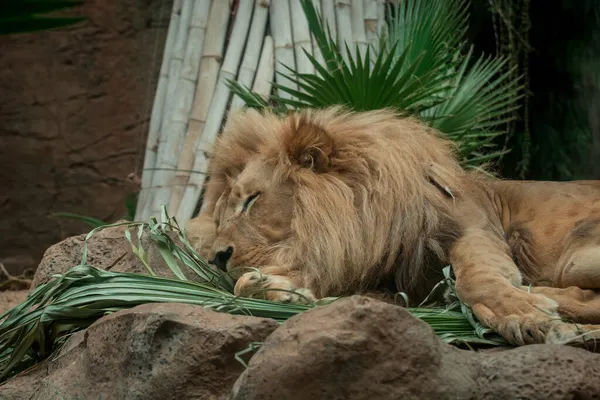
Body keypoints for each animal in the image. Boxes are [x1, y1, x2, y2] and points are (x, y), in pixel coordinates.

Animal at [186, 106, 600, 346]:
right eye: (220, 216)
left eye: (252, 200)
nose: (218, 257)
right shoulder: (382, 282)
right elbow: (246, 286)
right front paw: (278, 291)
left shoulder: (474, 226)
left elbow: (476, 279)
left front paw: (525, 317)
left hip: (577, 254)